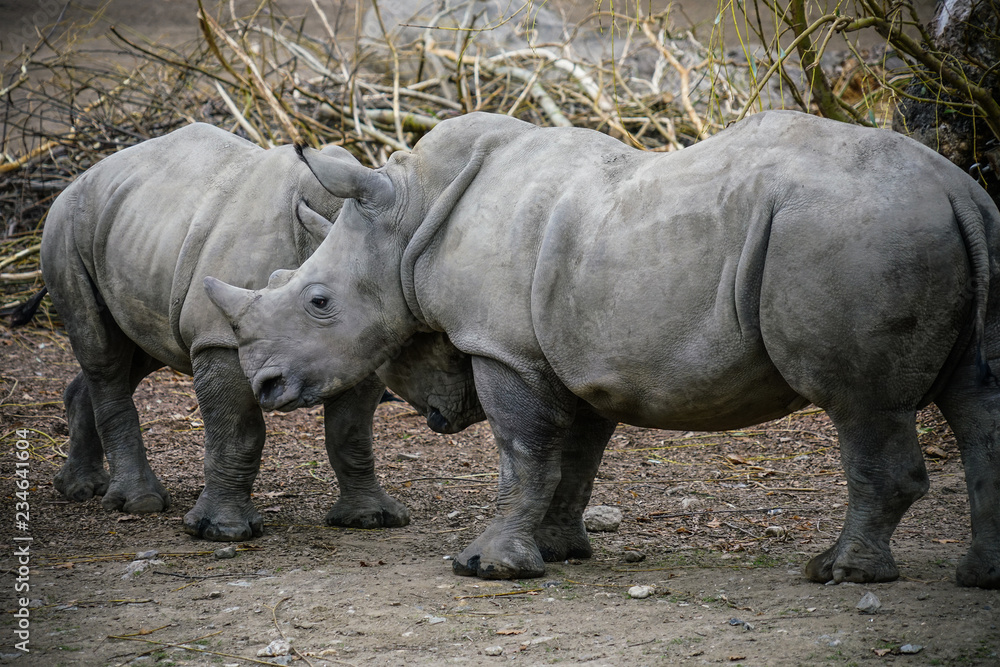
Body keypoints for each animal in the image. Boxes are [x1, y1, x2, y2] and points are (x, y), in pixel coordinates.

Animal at [30, 122, 482, 541]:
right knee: (103, 352)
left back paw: (80, 488)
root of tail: (86, 174)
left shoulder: (365, 339)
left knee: (138, 351)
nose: (464, 406)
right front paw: (222, 530)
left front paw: (370, 519)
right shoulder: (221, 336)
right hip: (66, 222)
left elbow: (351, 432)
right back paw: (138, 502)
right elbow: (238, 433)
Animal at [205, 110, 1000, 588]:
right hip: (942, 229)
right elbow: (572, 460)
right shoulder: (574, 355)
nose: (266, 383)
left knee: (861, 404)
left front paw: (487, 567)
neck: (407, 215)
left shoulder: (507, 350)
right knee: (975, 400)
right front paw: (559, 551)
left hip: (855, 237)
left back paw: (838, 572)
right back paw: (975, 578)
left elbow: (523, 454)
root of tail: (957, 189)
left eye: (318, 301)